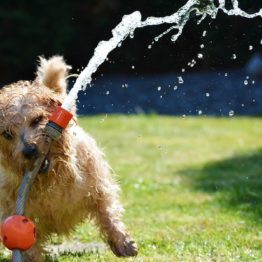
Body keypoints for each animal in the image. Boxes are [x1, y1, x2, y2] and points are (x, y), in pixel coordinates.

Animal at [0, 56, 138, 260]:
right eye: (7, 134)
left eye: (37, 119)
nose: (29, 150)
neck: (52, 179)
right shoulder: (13, 209)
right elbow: (29, 244)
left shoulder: (99, 185)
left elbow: (107, 213)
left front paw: (123, 242)